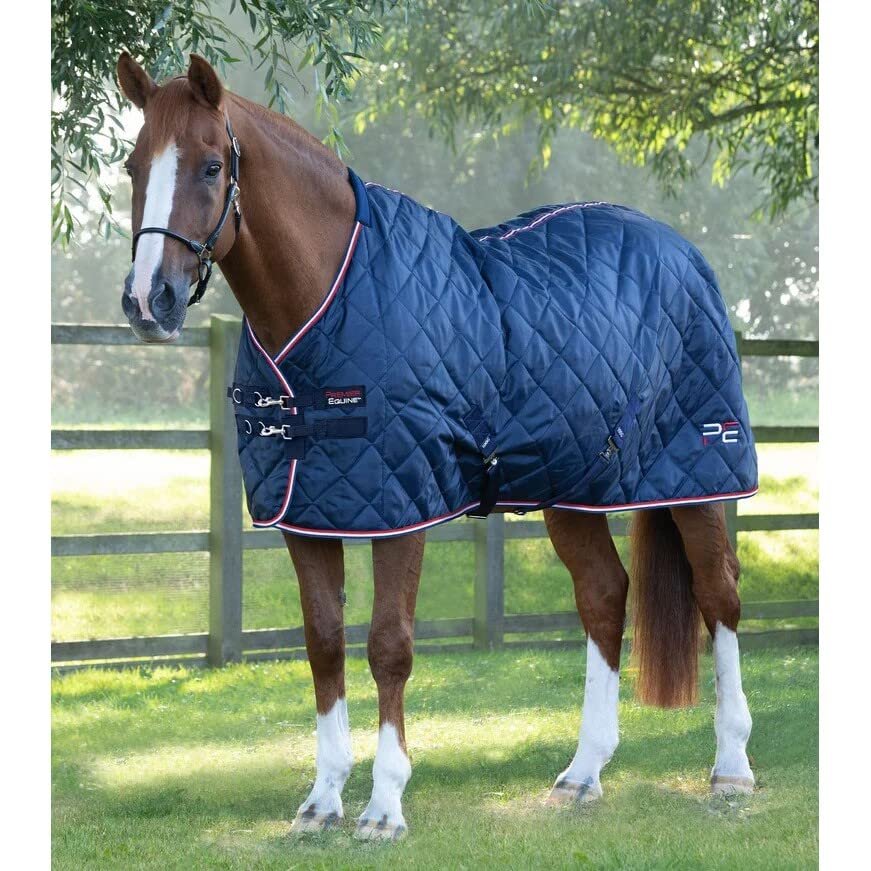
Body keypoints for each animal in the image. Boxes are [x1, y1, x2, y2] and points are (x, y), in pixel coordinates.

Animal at [115, 52, 756, 840]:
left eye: (210, 166)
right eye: (133, 164)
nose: (149, 302)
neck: (329, 295)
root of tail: (682, 251)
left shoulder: (404, 506)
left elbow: (388, 645)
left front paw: (384, 806)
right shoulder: (308, 514)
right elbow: (323, 642)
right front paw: (321, 801)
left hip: (699, 470)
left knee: (718, 594)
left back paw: (730, 768)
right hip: (568, 487)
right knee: (605, 596)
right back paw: (582, 774)